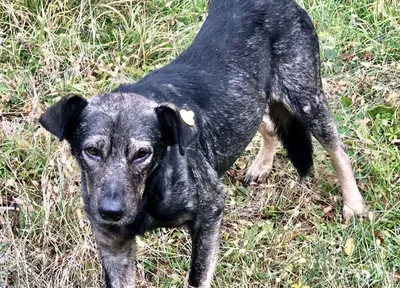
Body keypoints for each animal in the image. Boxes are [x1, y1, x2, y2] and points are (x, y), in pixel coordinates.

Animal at [39, 1, 368, 286]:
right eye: (92, 151)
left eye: (142, 153)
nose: (110, 211)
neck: (150, 188)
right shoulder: (114, 247)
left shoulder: (210, 210)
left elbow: (198, 276)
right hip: (250, 100)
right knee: (267, 124)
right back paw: (262, 164)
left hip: (305, 98)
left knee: (338, 149)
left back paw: (354, 205)